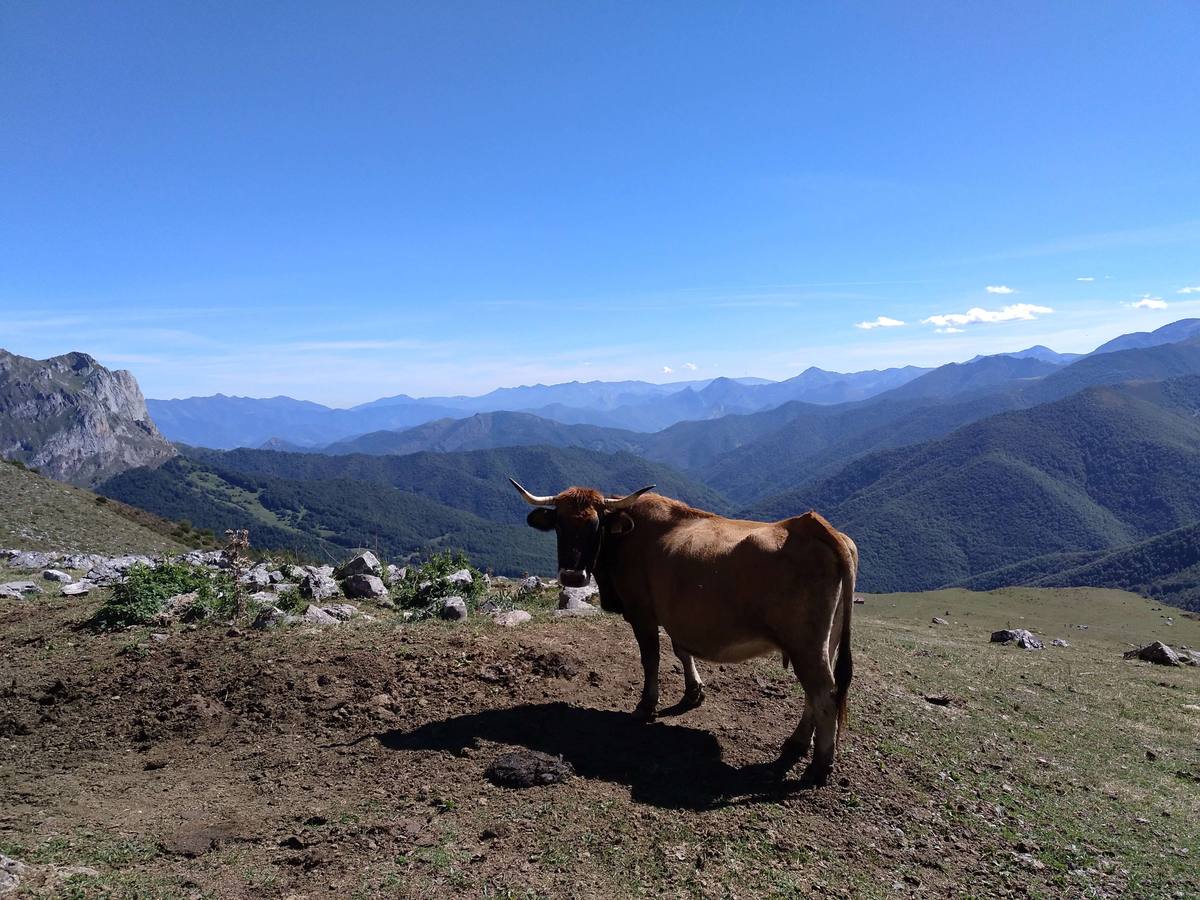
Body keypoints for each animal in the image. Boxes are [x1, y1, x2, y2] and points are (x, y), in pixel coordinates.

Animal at [511, 480, 859, 782]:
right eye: (559, 525)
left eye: (595, 527)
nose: (572, 575)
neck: (627, 538)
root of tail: (816, 526)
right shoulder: (677, 615)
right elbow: (681, 650)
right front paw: (693, 692)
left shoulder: (642, 612)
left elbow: (651, 658)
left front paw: (645, 705)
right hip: (824, 643)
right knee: (817, 694)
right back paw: (797, 744)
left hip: (805, 646)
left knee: (823, 694)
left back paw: (818, 766)